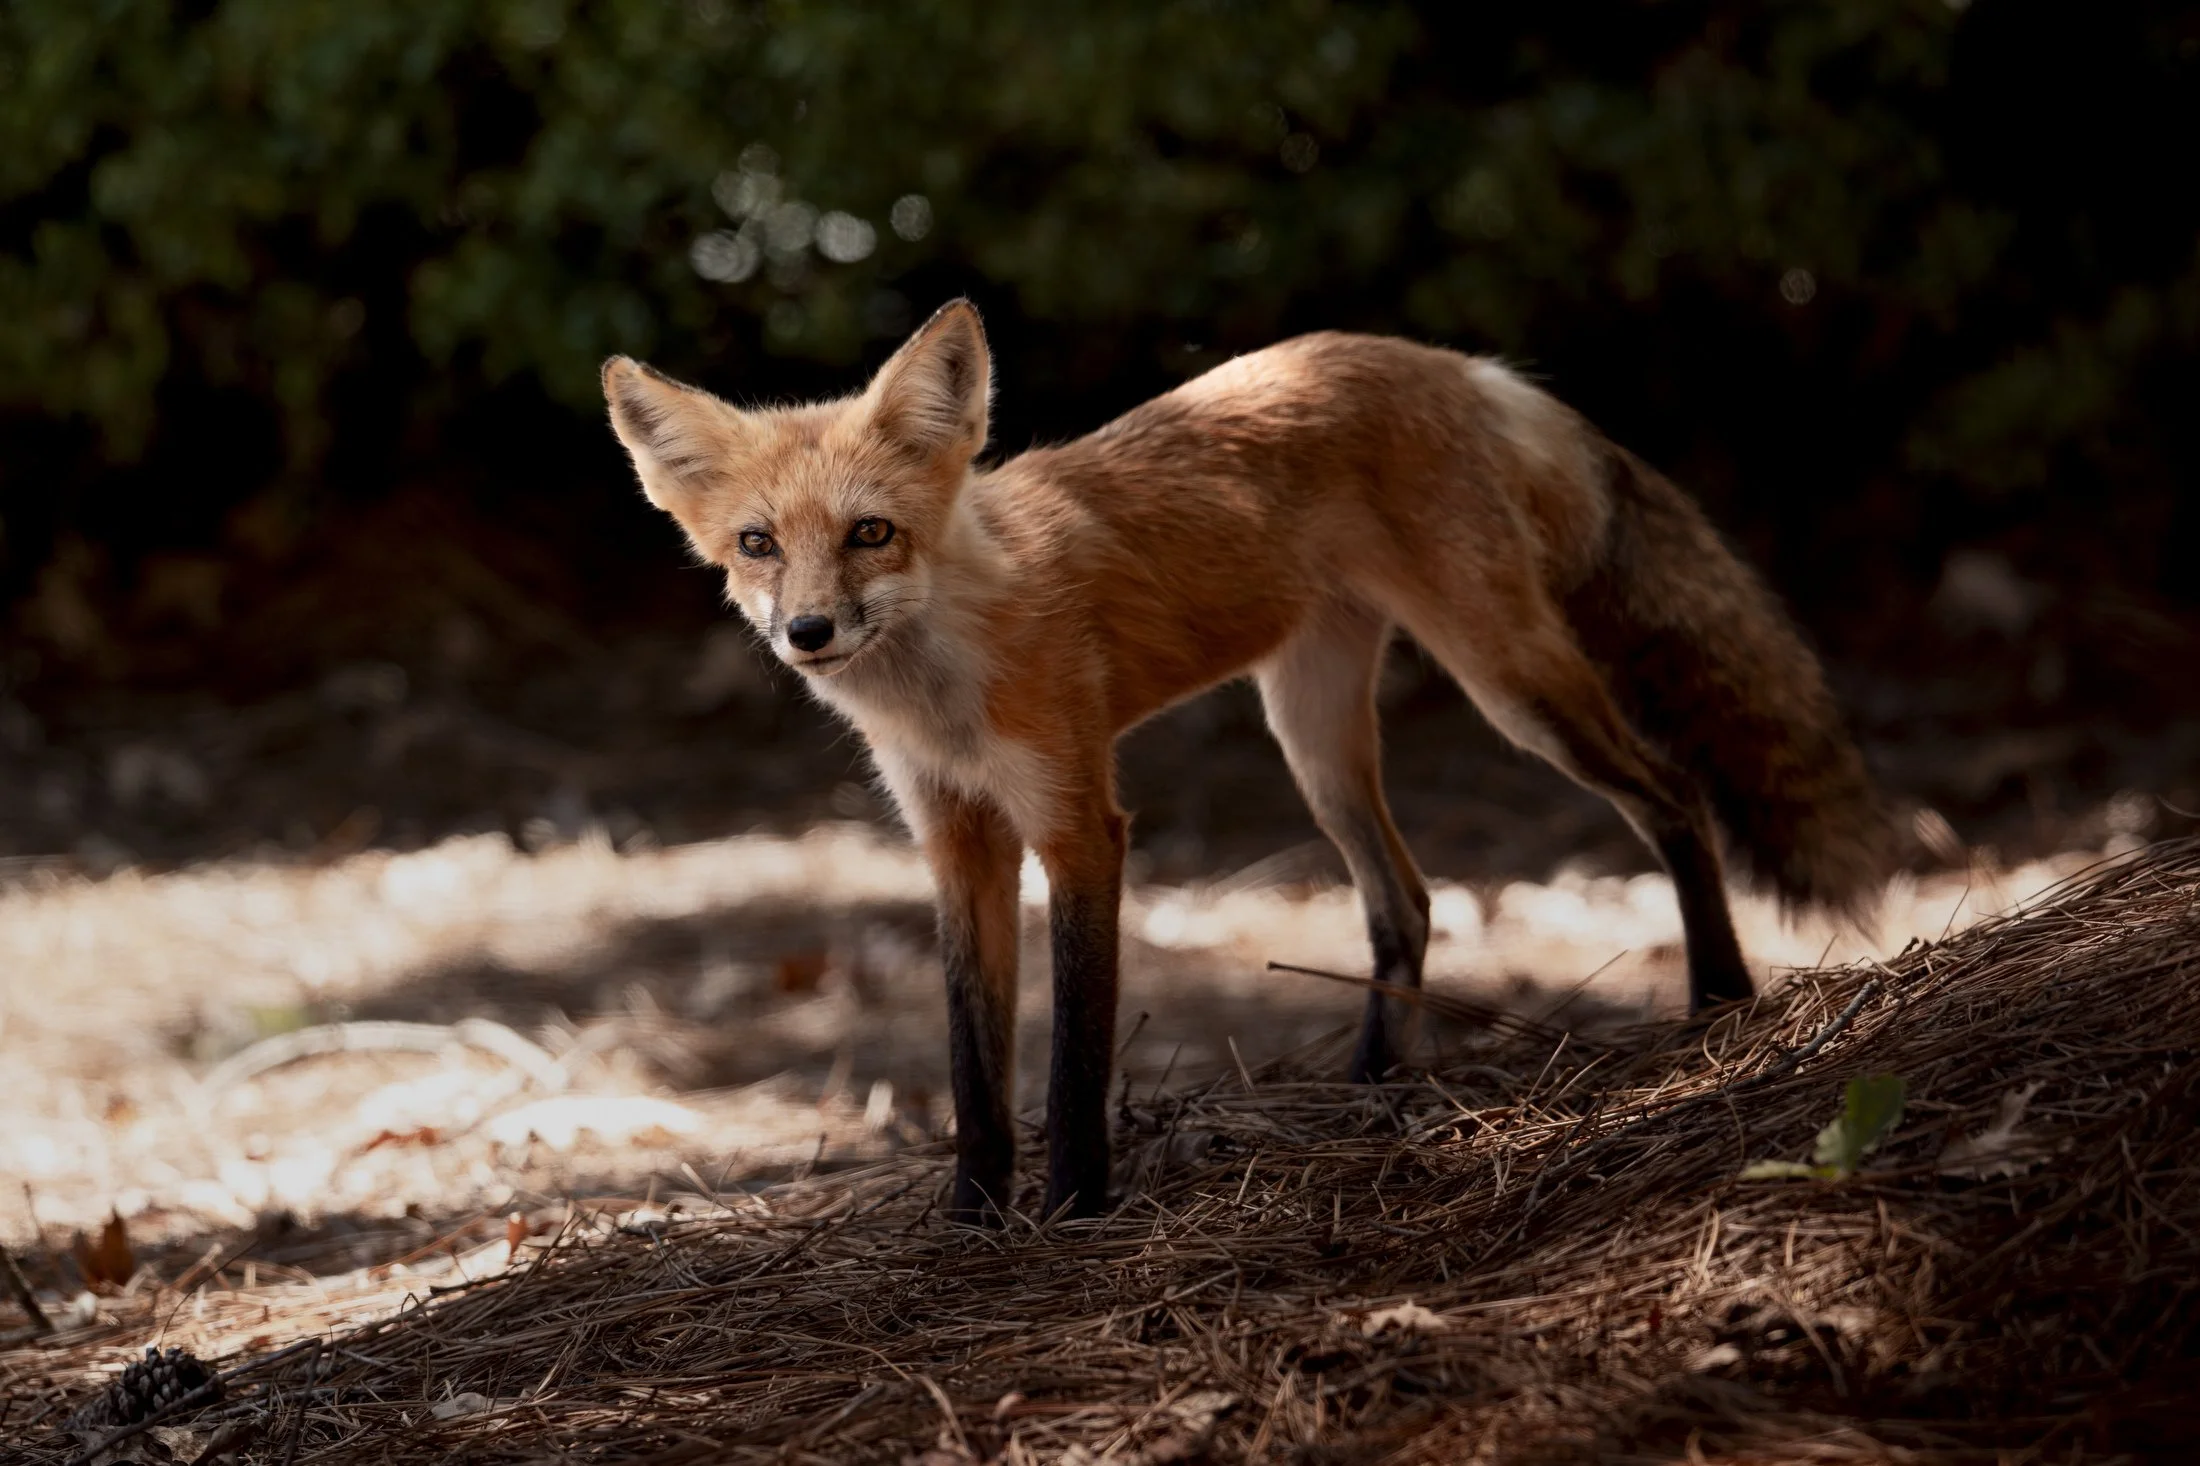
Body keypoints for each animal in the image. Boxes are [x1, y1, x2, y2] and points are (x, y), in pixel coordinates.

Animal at [603, 299, 1887, 1224]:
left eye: (870, 531)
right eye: (758, 544)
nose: (808, 632)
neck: (945, 688)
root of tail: (1457, 363)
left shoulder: (1078, 822)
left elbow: (1071, 1052)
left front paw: (1075, 1204)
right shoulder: (957, 839)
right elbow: (973, 1059)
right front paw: (971, 1215)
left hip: (1511, 684)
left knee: (1672, 800)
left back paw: (1717, 998)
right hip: (1312, 733)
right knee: (1407, 898)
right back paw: (1371, 1085)